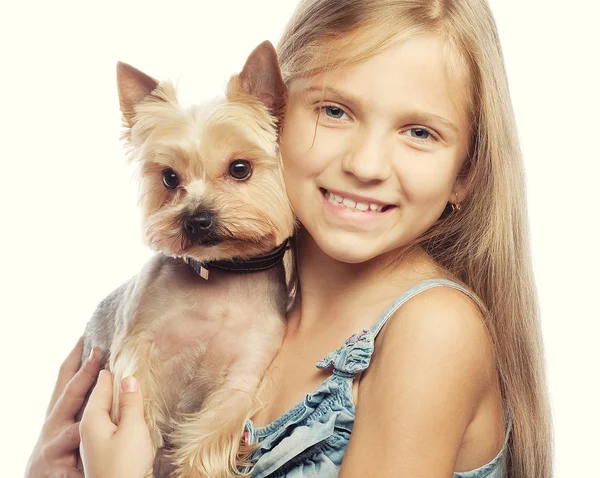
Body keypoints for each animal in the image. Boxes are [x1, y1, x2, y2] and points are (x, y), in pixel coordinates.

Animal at [79, 42, 296, 478]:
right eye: (169, 177)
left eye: (240, 168)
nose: (196, 220)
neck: (222, 273)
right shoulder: (139, 352)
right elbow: (141, 416)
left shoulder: (243, 377)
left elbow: (208, 438)